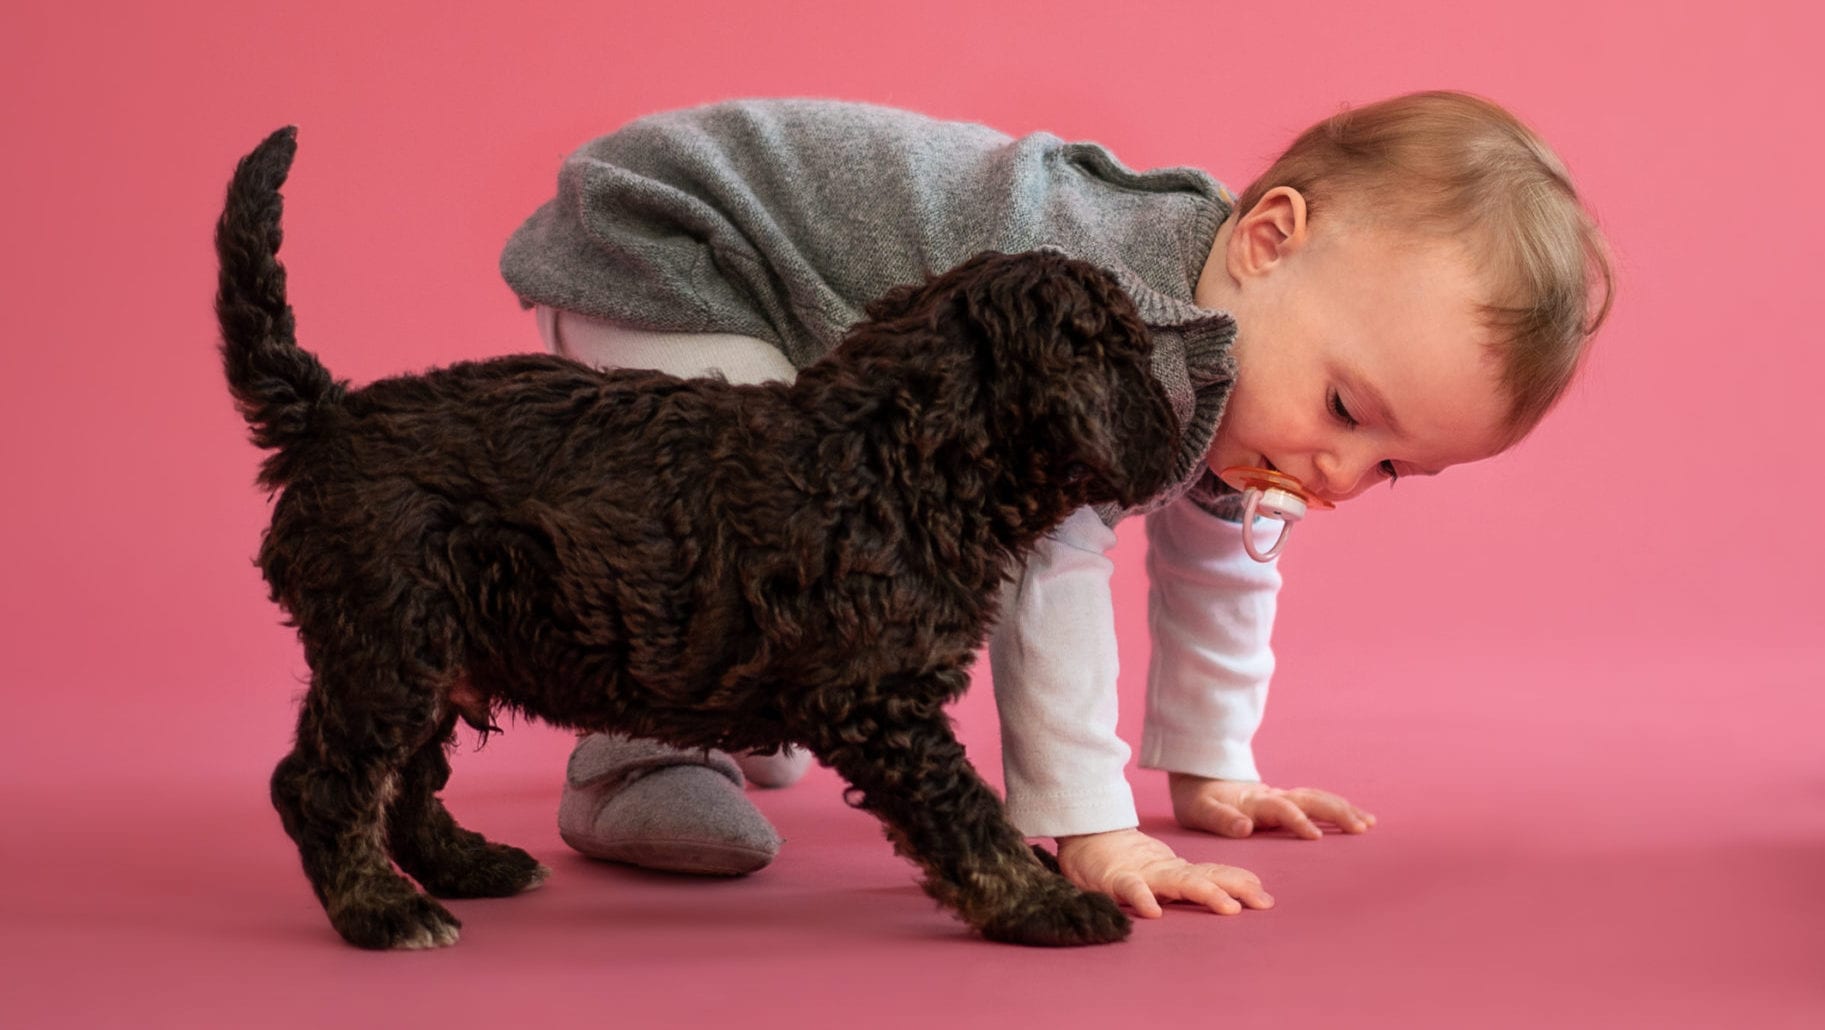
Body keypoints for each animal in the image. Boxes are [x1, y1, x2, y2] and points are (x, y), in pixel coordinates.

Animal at [217, 126, 1182, 949]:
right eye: (1130, 359)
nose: (1178, 438)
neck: (902, 454)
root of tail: (327, 415)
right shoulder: (874, 692)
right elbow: (966, 809)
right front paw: (1046, 903)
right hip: (389, 634)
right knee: (324, 783)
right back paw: (383, 913)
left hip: (439, 642)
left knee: (407, 777)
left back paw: (466, 866)